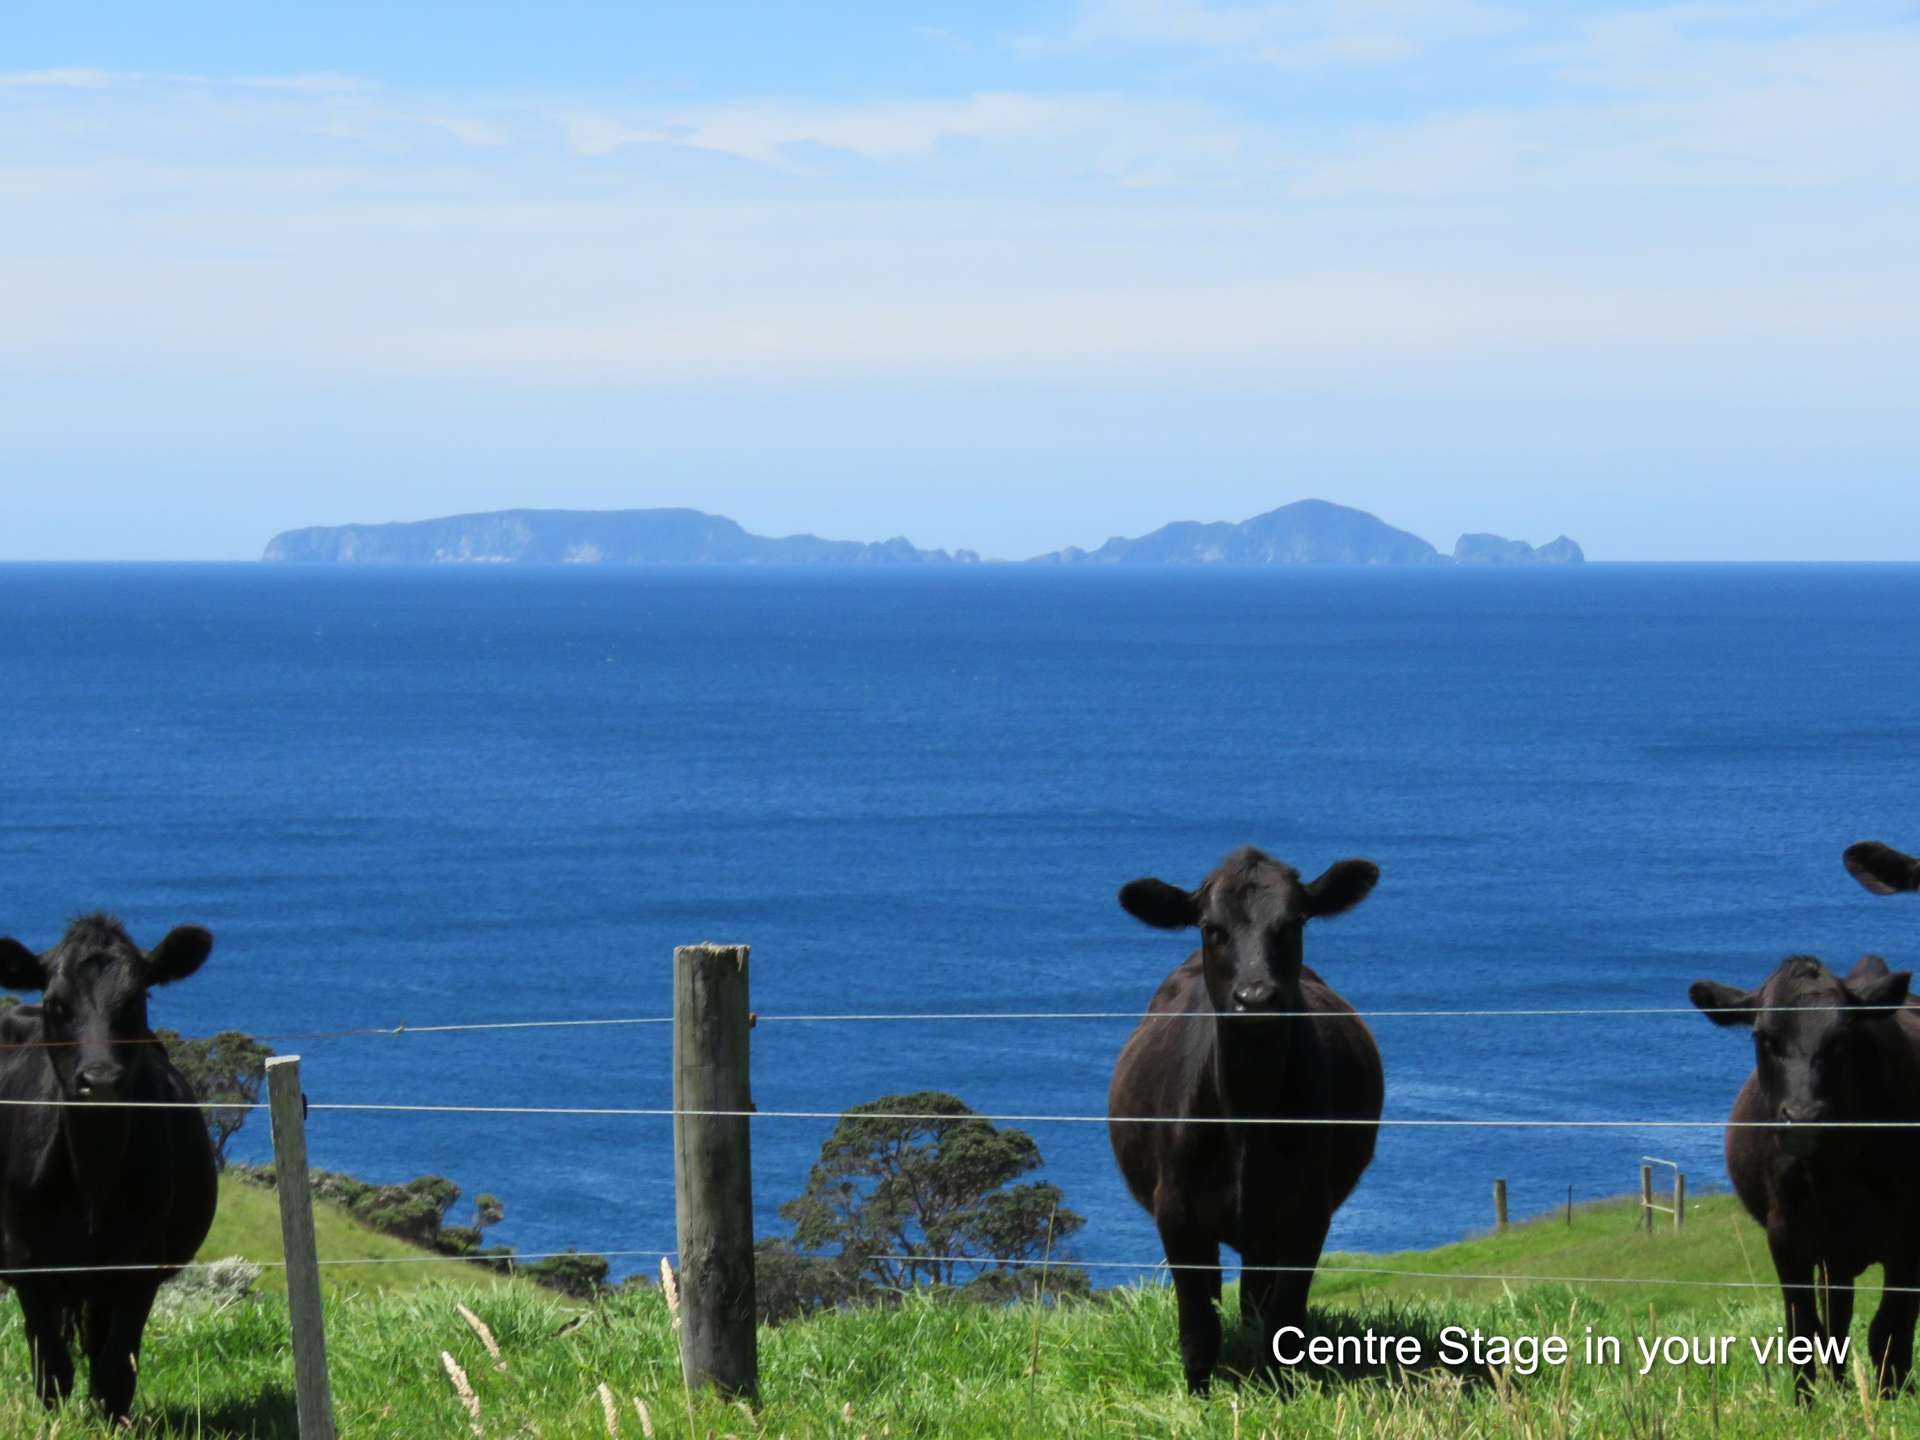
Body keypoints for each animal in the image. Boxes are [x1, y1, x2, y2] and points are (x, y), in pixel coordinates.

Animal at [0, 913, 219, 1420]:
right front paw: (53, 1421)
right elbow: (51, 1363)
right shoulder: (25, 1258)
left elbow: (116, 1366)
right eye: (56, 1003)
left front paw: (111, 1421)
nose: (99, 1081)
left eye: (137, 999)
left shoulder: (140, 1262)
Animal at [1113, 844, 1382, 1397]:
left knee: (1256, 1297)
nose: (1255, 997)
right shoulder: (1176, 1210)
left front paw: (1282, 1394)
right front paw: (1198, 1397)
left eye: (1293, 922)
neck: (1247, 1117)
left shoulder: (1307, 1212)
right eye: (1211, 927)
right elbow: (1197, 1324)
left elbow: (1285, 1320)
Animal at [1697, 960, 1920, 1397]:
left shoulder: (1908, 1237)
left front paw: (1889, 1397)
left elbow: (1888, 1328)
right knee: (1836, 1319)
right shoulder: (1786, 1234)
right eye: (1763, 1036)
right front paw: (1808, 1402)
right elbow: (1803, 1328)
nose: (1802, 1115)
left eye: (1841, 1036)